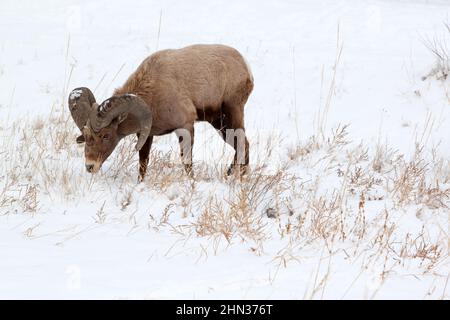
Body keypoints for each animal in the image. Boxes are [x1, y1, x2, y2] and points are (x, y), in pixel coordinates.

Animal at [69, 43, 255, 181]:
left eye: (106, 135)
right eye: (86, 136)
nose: (90, 166)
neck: (153, 93)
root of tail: (246, 67)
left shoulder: (185, 127)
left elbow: (187, 162)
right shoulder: (146, 134)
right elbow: (143, 163)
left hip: (232, 114)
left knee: (242, 144)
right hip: (219, 123)